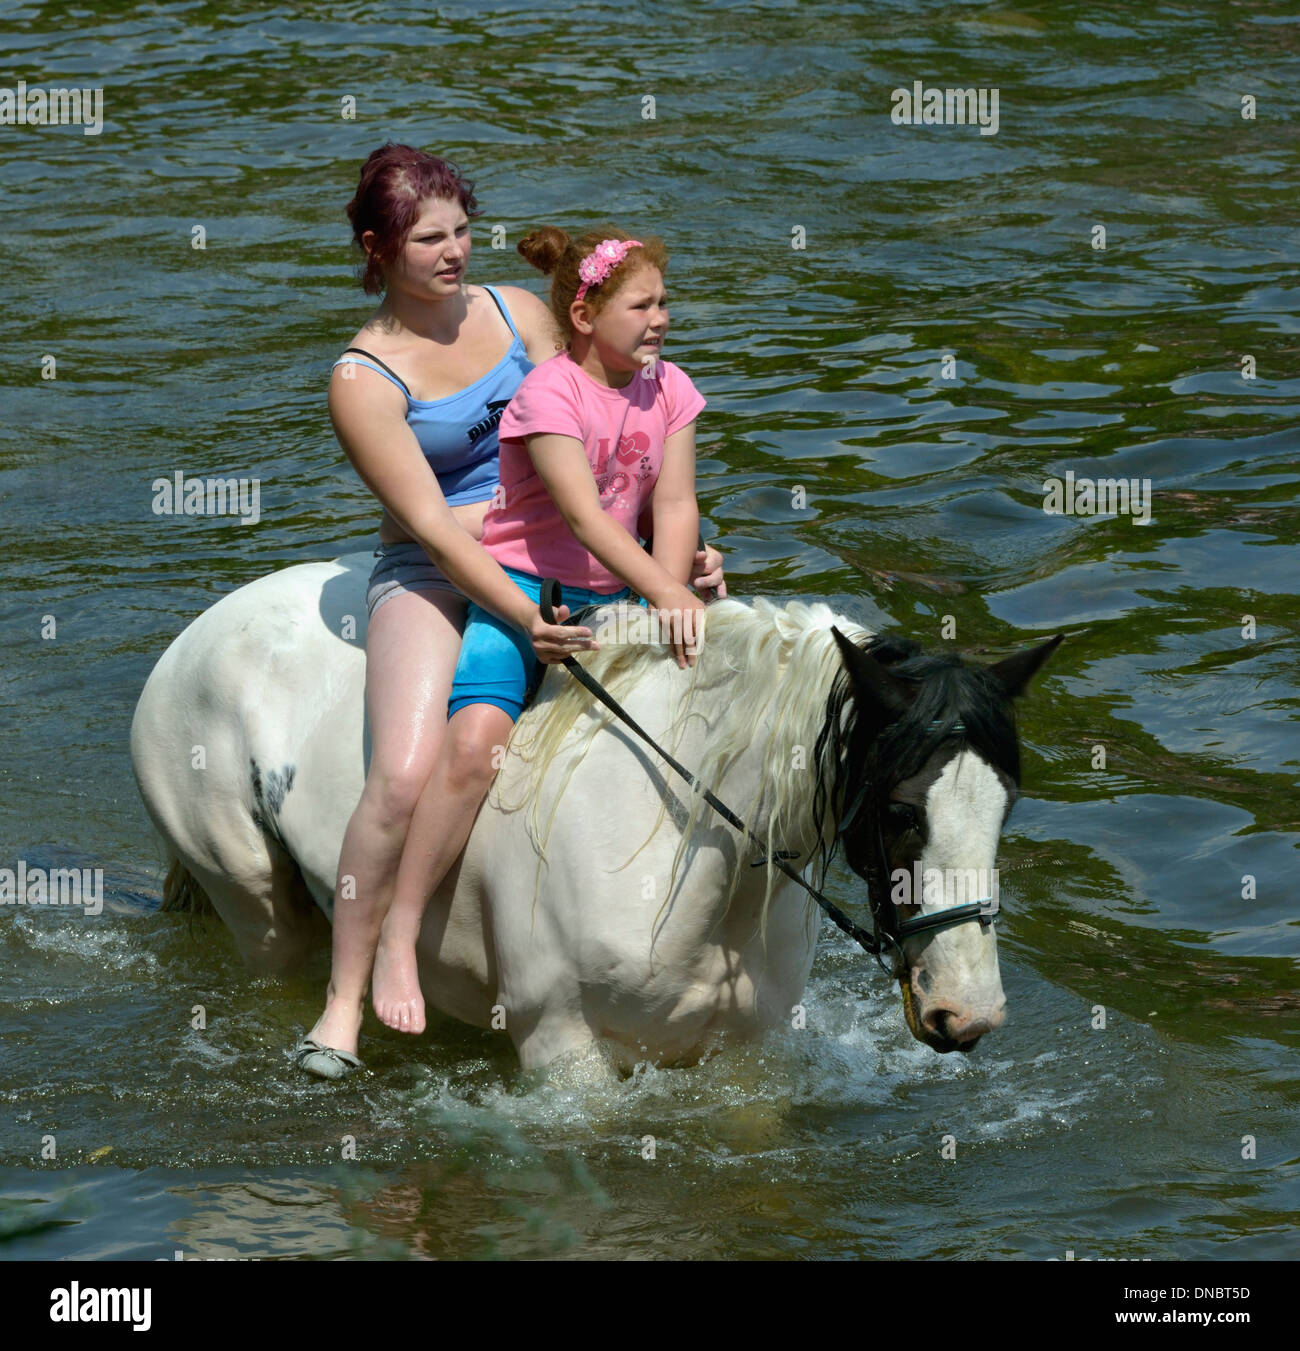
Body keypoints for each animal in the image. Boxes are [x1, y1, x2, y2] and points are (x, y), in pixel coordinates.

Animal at [129, 550, 1060, 1071]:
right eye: (901, 812)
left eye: (1005, 807)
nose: (970, 1013)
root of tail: (196, 636)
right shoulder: (562, 1053)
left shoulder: (741, 1057)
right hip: (252, 894)